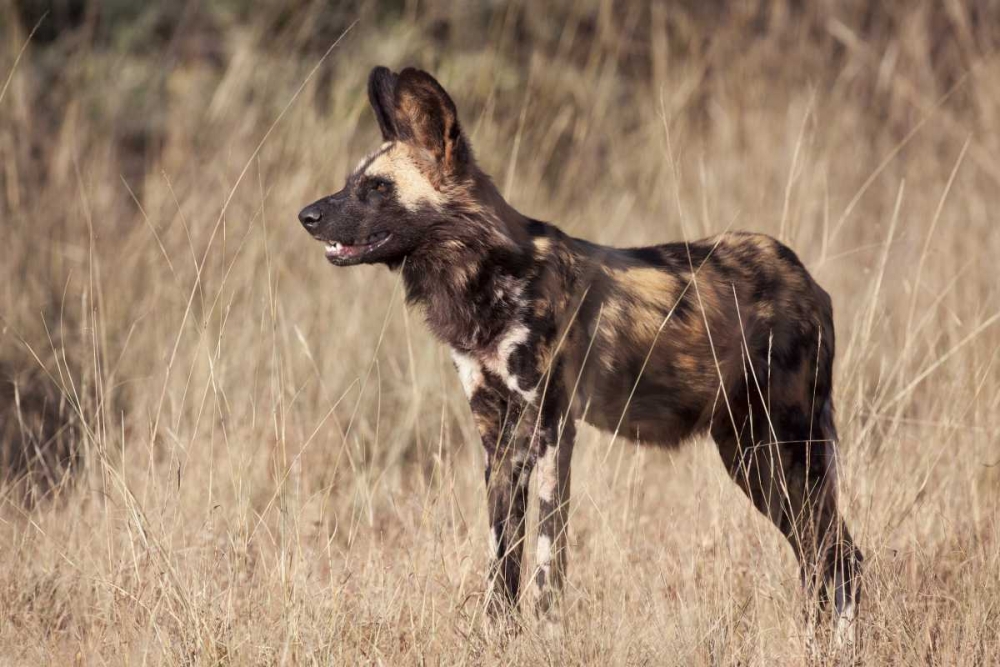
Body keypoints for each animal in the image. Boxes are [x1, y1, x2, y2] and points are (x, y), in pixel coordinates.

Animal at [296, 66, 860, 636]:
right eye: (351, 182)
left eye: (376, 188)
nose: (306, 216)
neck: (485, 277)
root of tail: (805, 278)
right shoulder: (497, 437)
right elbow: (503, 560)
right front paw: (498, 636)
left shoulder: (550, 428)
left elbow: (548, 559)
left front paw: (546, 633)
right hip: (751, 457)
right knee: (821, 555)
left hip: (785, 446)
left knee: (837, 556)